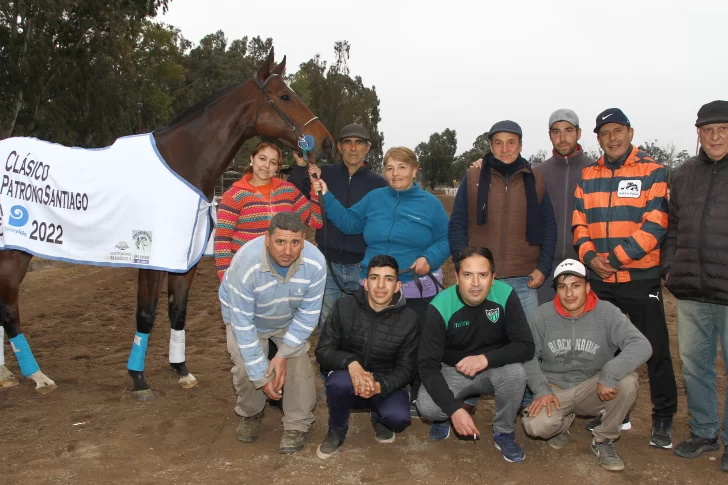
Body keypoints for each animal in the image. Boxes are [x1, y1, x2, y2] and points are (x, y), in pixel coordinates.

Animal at [0, 48, 336, 398]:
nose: (326, 142)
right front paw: (138, 378)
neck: (182, 163)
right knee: (8, 310)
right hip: (14, 253)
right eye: (284, 96)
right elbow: (146, 315)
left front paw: (181, 369)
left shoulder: (184, 261)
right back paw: (38, 376)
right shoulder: (152, 260)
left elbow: (178, 312)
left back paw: (6, 374)